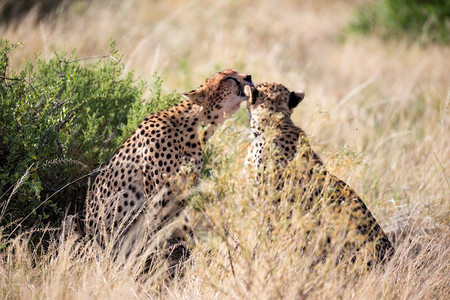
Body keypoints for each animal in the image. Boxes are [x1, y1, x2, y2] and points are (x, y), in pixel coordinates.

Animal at [83, 69, 253, 268]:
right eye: (228, 78)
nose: (249, 77)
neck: (192, 128)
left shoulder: (179, 198)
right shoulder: (157, 198)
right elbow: (155, 238)